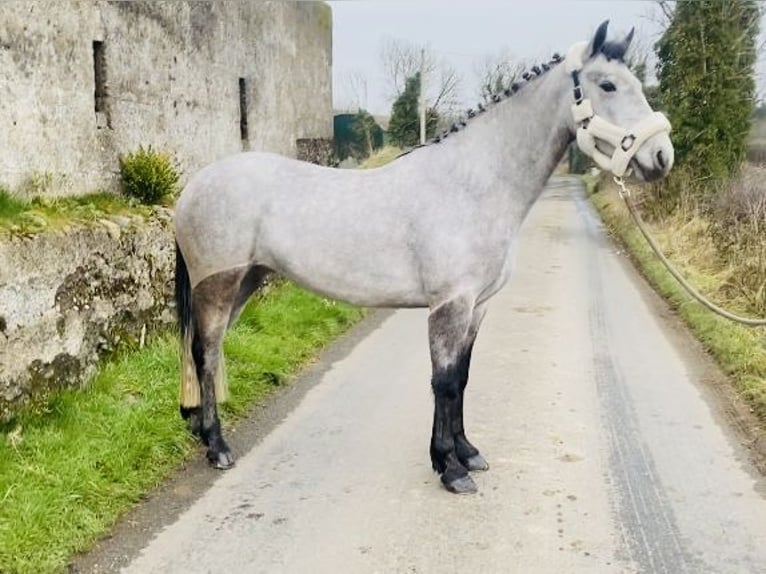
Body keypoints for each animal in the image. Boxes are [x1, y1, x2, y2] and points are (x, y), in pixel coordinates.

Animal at [176, 22, 680, 496]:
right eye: (608, 85)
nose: (661, 156)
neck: (473, 183)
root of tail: (193, 186)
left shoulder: (477, 306)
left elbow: (463, 377)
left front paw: (467, 452)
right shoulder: (449, 305)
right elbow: (444, 382)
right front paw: (450, 468)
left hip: (247, 281)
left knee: (207, 351)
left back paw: (203, 432)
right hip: (220, 286)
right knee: (206, 352)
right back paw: (217, 447)